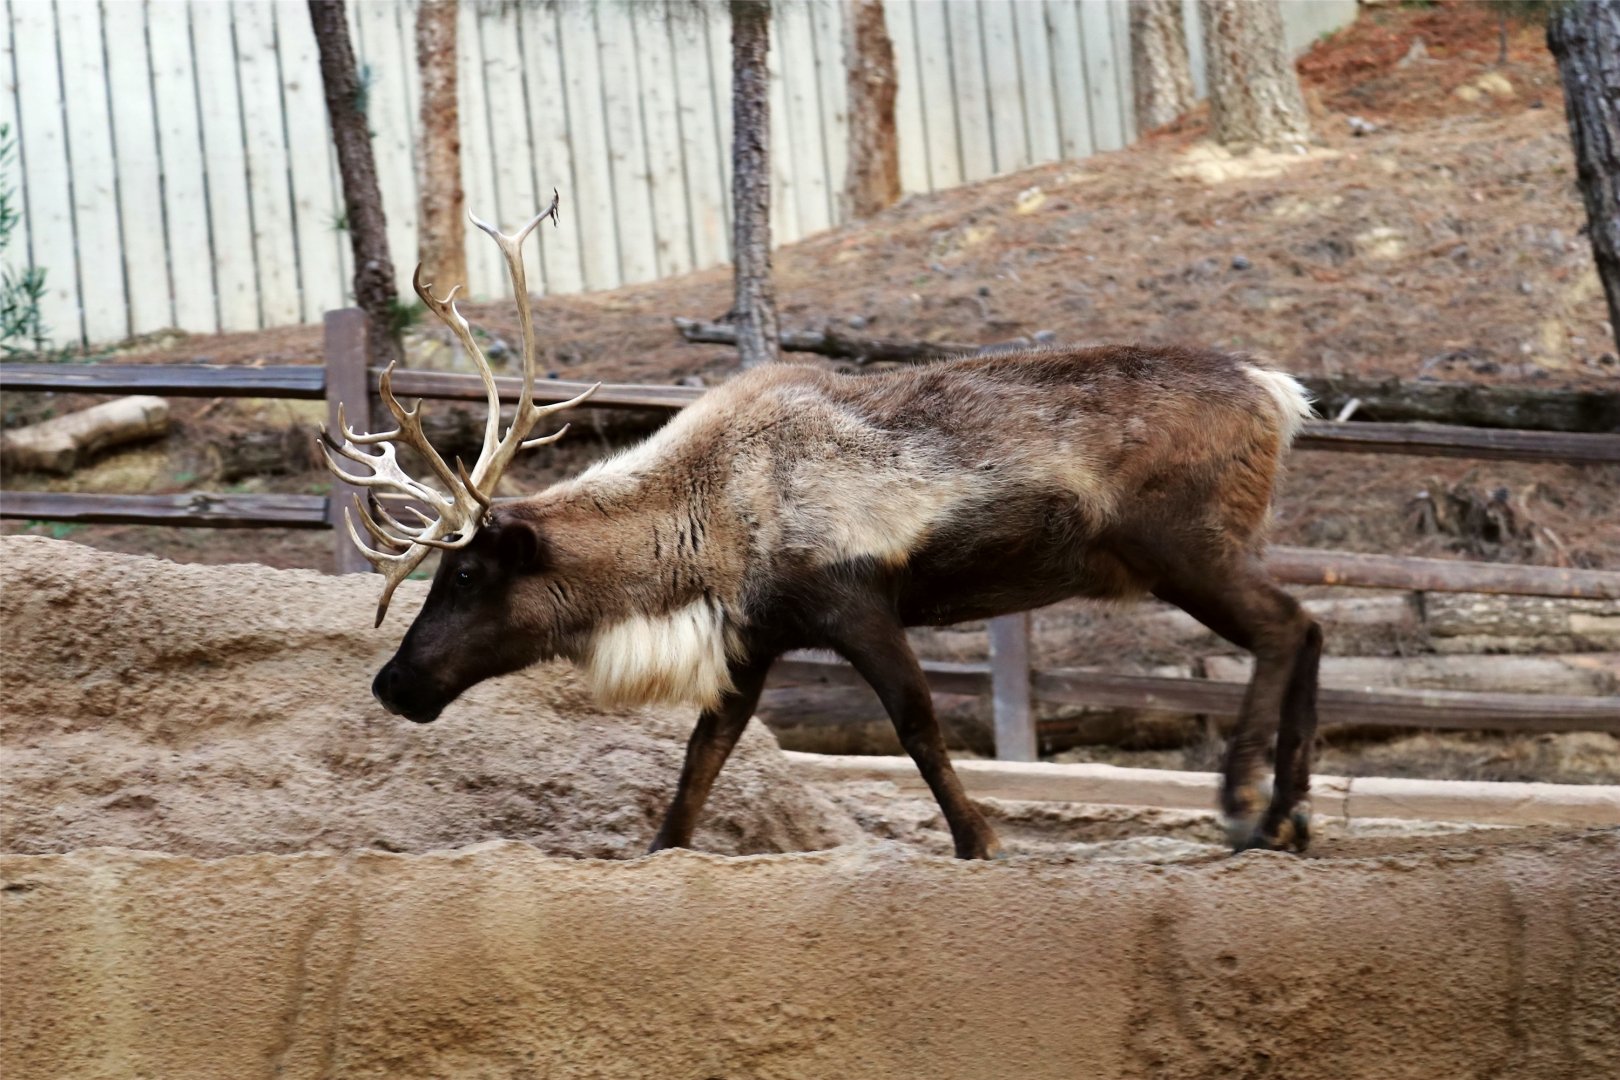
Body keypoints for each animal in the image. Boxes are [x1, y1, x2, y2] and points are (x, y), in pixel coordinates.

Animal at [322, 195, 1322, 860]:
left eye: (463, 574)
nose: (392, 682)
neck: (705, 522)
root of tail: (1280, 391)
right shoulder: (755, 638)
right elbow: (701, 760)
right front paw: (662, 853)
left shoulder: (855, 601)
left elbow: (919, 724)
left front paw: (981, 841)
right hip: (1208, 551)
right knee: (1308, 626)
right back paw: (1291, 815)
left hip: (1180, 549)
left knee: (1285, 627)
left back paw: (1245, 804)